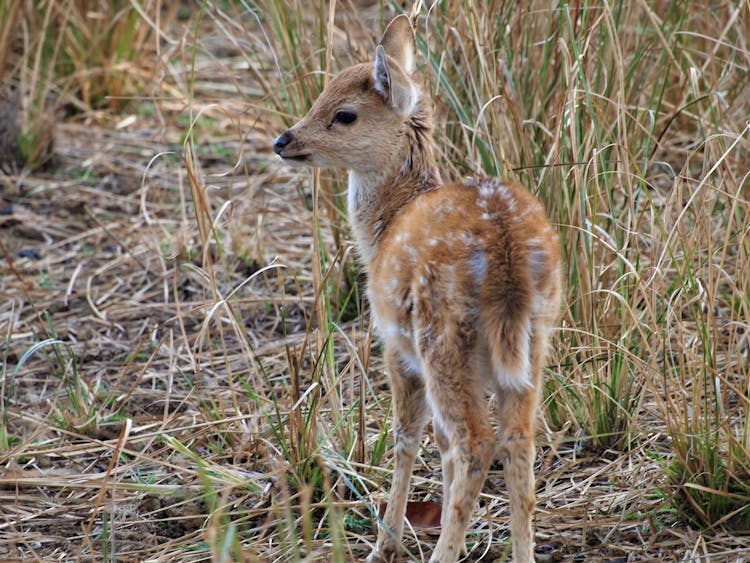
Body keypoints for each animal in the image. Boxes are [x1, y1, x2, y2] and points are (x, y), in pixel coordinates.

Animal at [274, 13, 560, 563]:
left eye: (343, 114)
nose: (284, 141)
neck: (386, 223)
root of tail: (507, 250)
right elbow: (440, 446)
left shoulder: (392, 344)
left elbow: (407, 436)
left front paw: (384, 544)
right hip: (536, 340)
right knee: (516, 440)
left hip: (440, 335)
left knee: (475, 442)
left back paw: (440, 552)